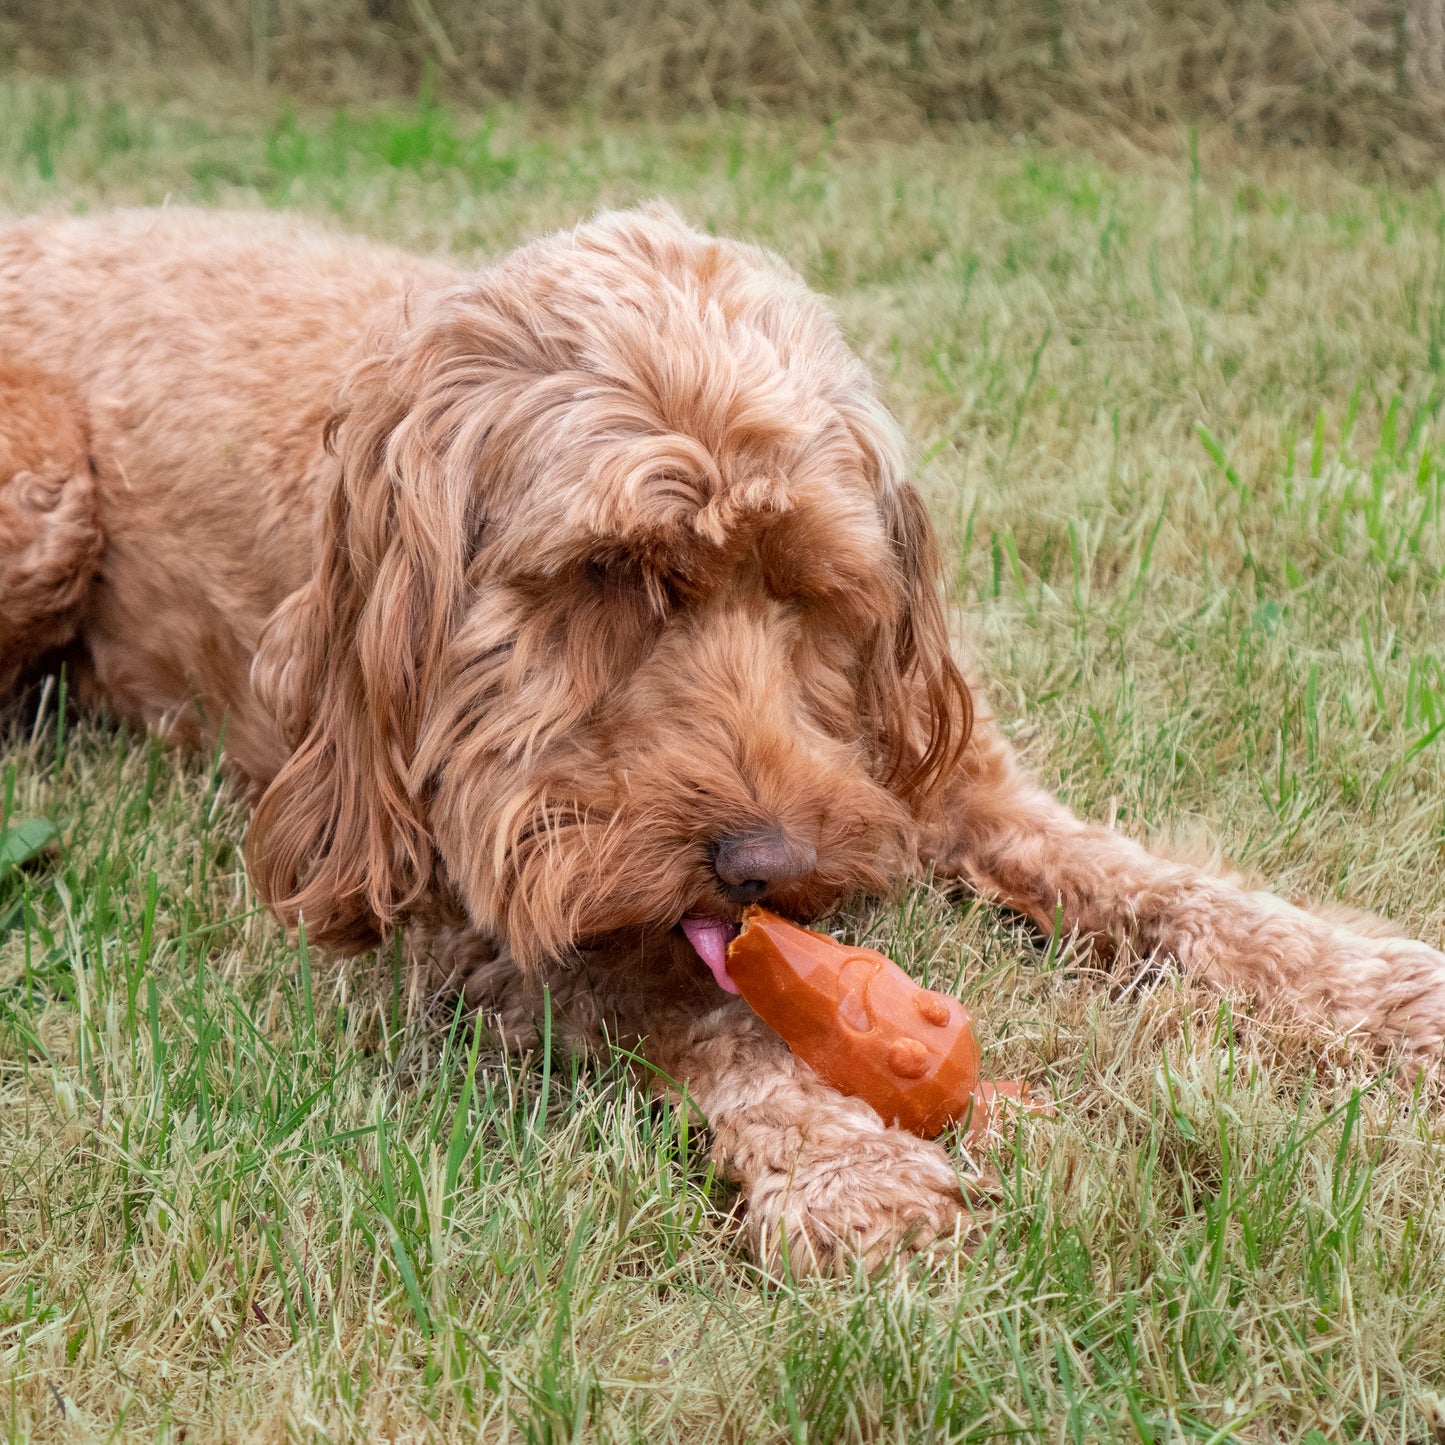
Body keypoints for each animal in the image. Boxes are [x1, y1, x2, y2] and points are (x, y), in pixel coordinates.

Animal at [2, 203, 1445, 1265]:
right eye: (608, 573)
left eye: (808, 582)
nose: (764, 868)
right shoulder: (473, 891)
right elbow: (703, 1011)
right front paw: (847, 1164)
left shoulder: (941, 779)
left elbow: (1173, 891)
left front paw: (1383, 993)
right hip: (45, 487)